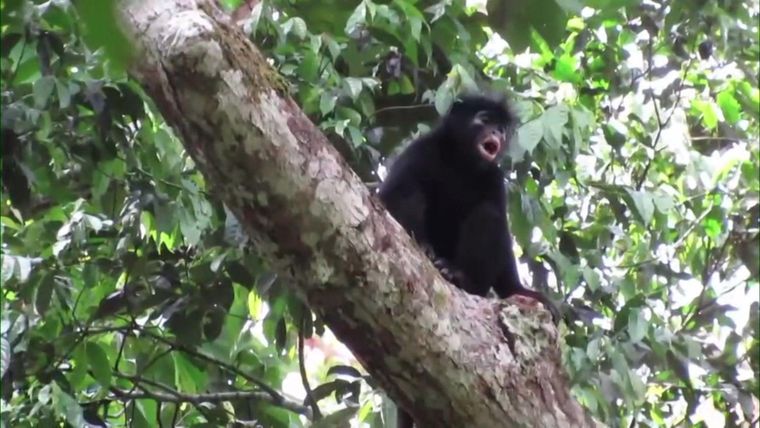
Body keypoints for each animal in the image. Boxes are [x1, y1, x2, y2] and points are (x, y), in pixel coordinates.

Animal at [378, 93, 559, 427]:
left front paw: (520, 290)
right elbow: (392, 195)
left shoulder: (494, 178)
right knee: (411, 189)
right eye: (484, 120)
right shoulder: (419, 150)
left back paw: (459, 276)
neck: (461, 163)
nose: (497, 134)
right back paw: (428, 252)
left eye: (502, 128)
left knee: (488, 216)